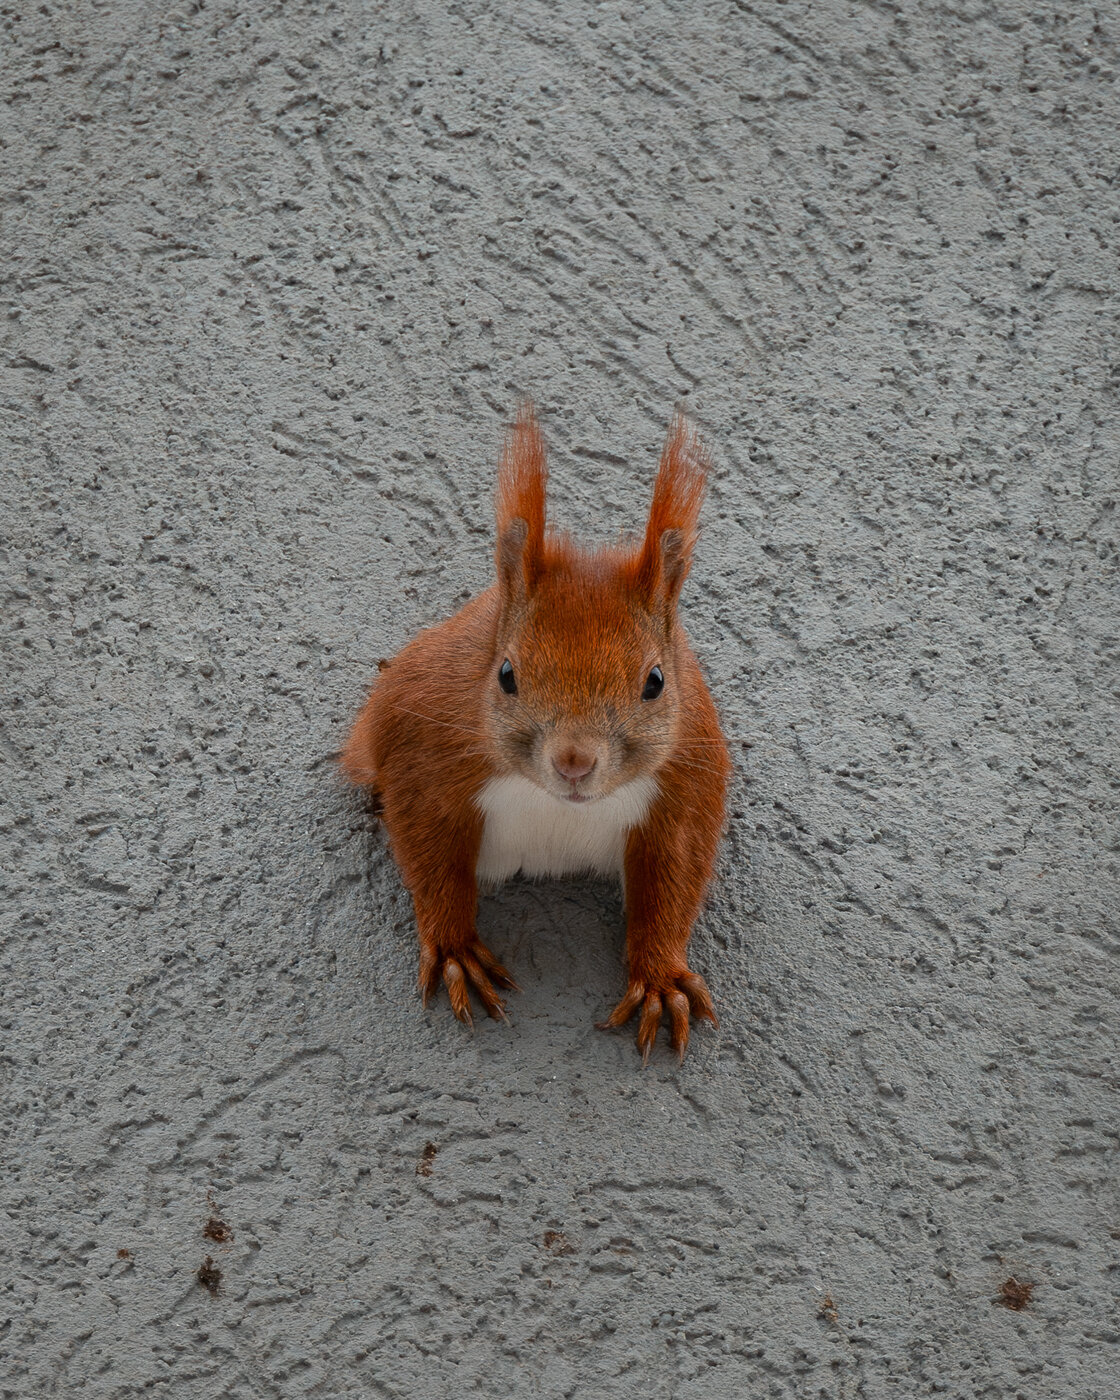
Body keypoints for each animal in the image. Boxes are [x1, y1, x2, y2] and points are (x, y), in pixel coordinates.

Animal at [341, 405, 731, 1062]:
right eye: (505, 675)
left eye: (655, 681)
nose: (574, 761)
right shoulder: (426, 750)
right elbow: (429, 855)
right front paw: (454, 946)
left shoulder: (685, 783)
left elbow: (671, 880)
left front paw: (660, 976)